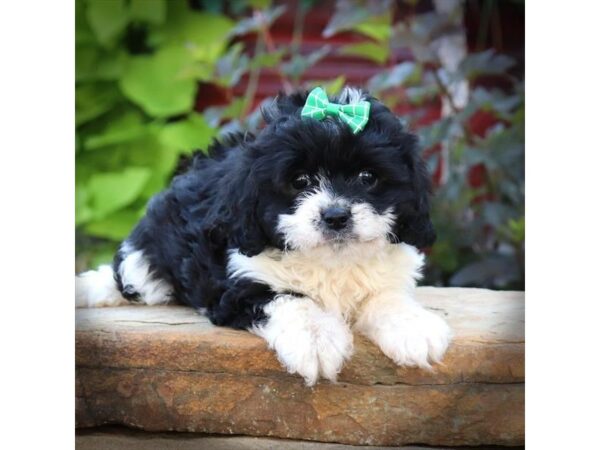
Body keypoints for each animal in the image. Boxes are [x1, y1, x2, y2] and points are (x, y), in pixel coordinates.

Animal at [76, 86, 450, 384]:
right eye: (300, 181)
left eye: (368, 177)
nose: (335, 216)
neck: (331, 261)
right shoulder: (240, 280)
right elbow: (290, 298)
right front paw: (316, 338)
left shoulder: (388, 271)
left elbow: (385, 296)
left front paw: (413, 327)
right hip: (148, 264)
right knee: (128, 277)